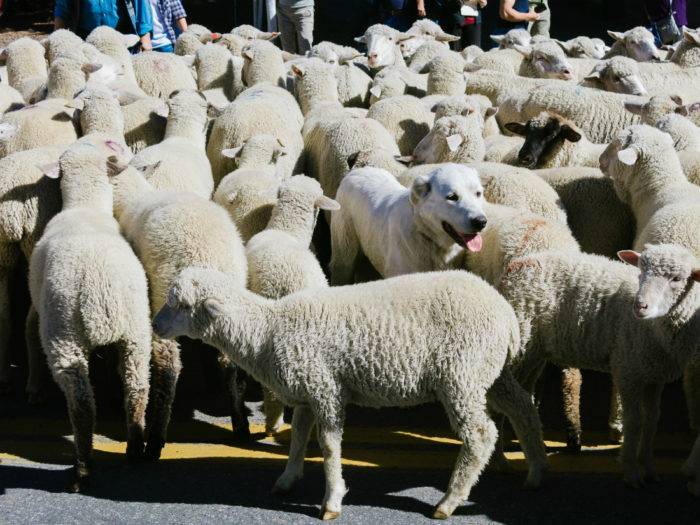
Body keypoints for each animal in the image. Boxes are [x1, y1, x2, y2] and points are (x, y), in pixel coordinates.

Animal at [109, 159, 249, 446]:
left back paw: (155, 438)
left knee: (168, 366)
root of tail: (207, 261)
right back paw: (241, 425)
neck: (133, 198)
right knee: (229, 363)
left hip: (164, 300)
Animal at [153, 264, 544, 516]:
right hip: (488, 373)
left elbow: (327, 445)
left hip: (461, 376)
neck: (266, 331)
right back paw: (535, 470)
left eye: (181, 304)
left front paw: (332, 500)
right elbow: (298, 437)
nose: (155, 325)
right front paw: (288, 479)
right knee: (523, 408)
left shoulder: (327, 389)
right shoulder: (307, 390)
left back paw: (449, 501)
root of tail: (505, 312)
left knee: (480, 433)